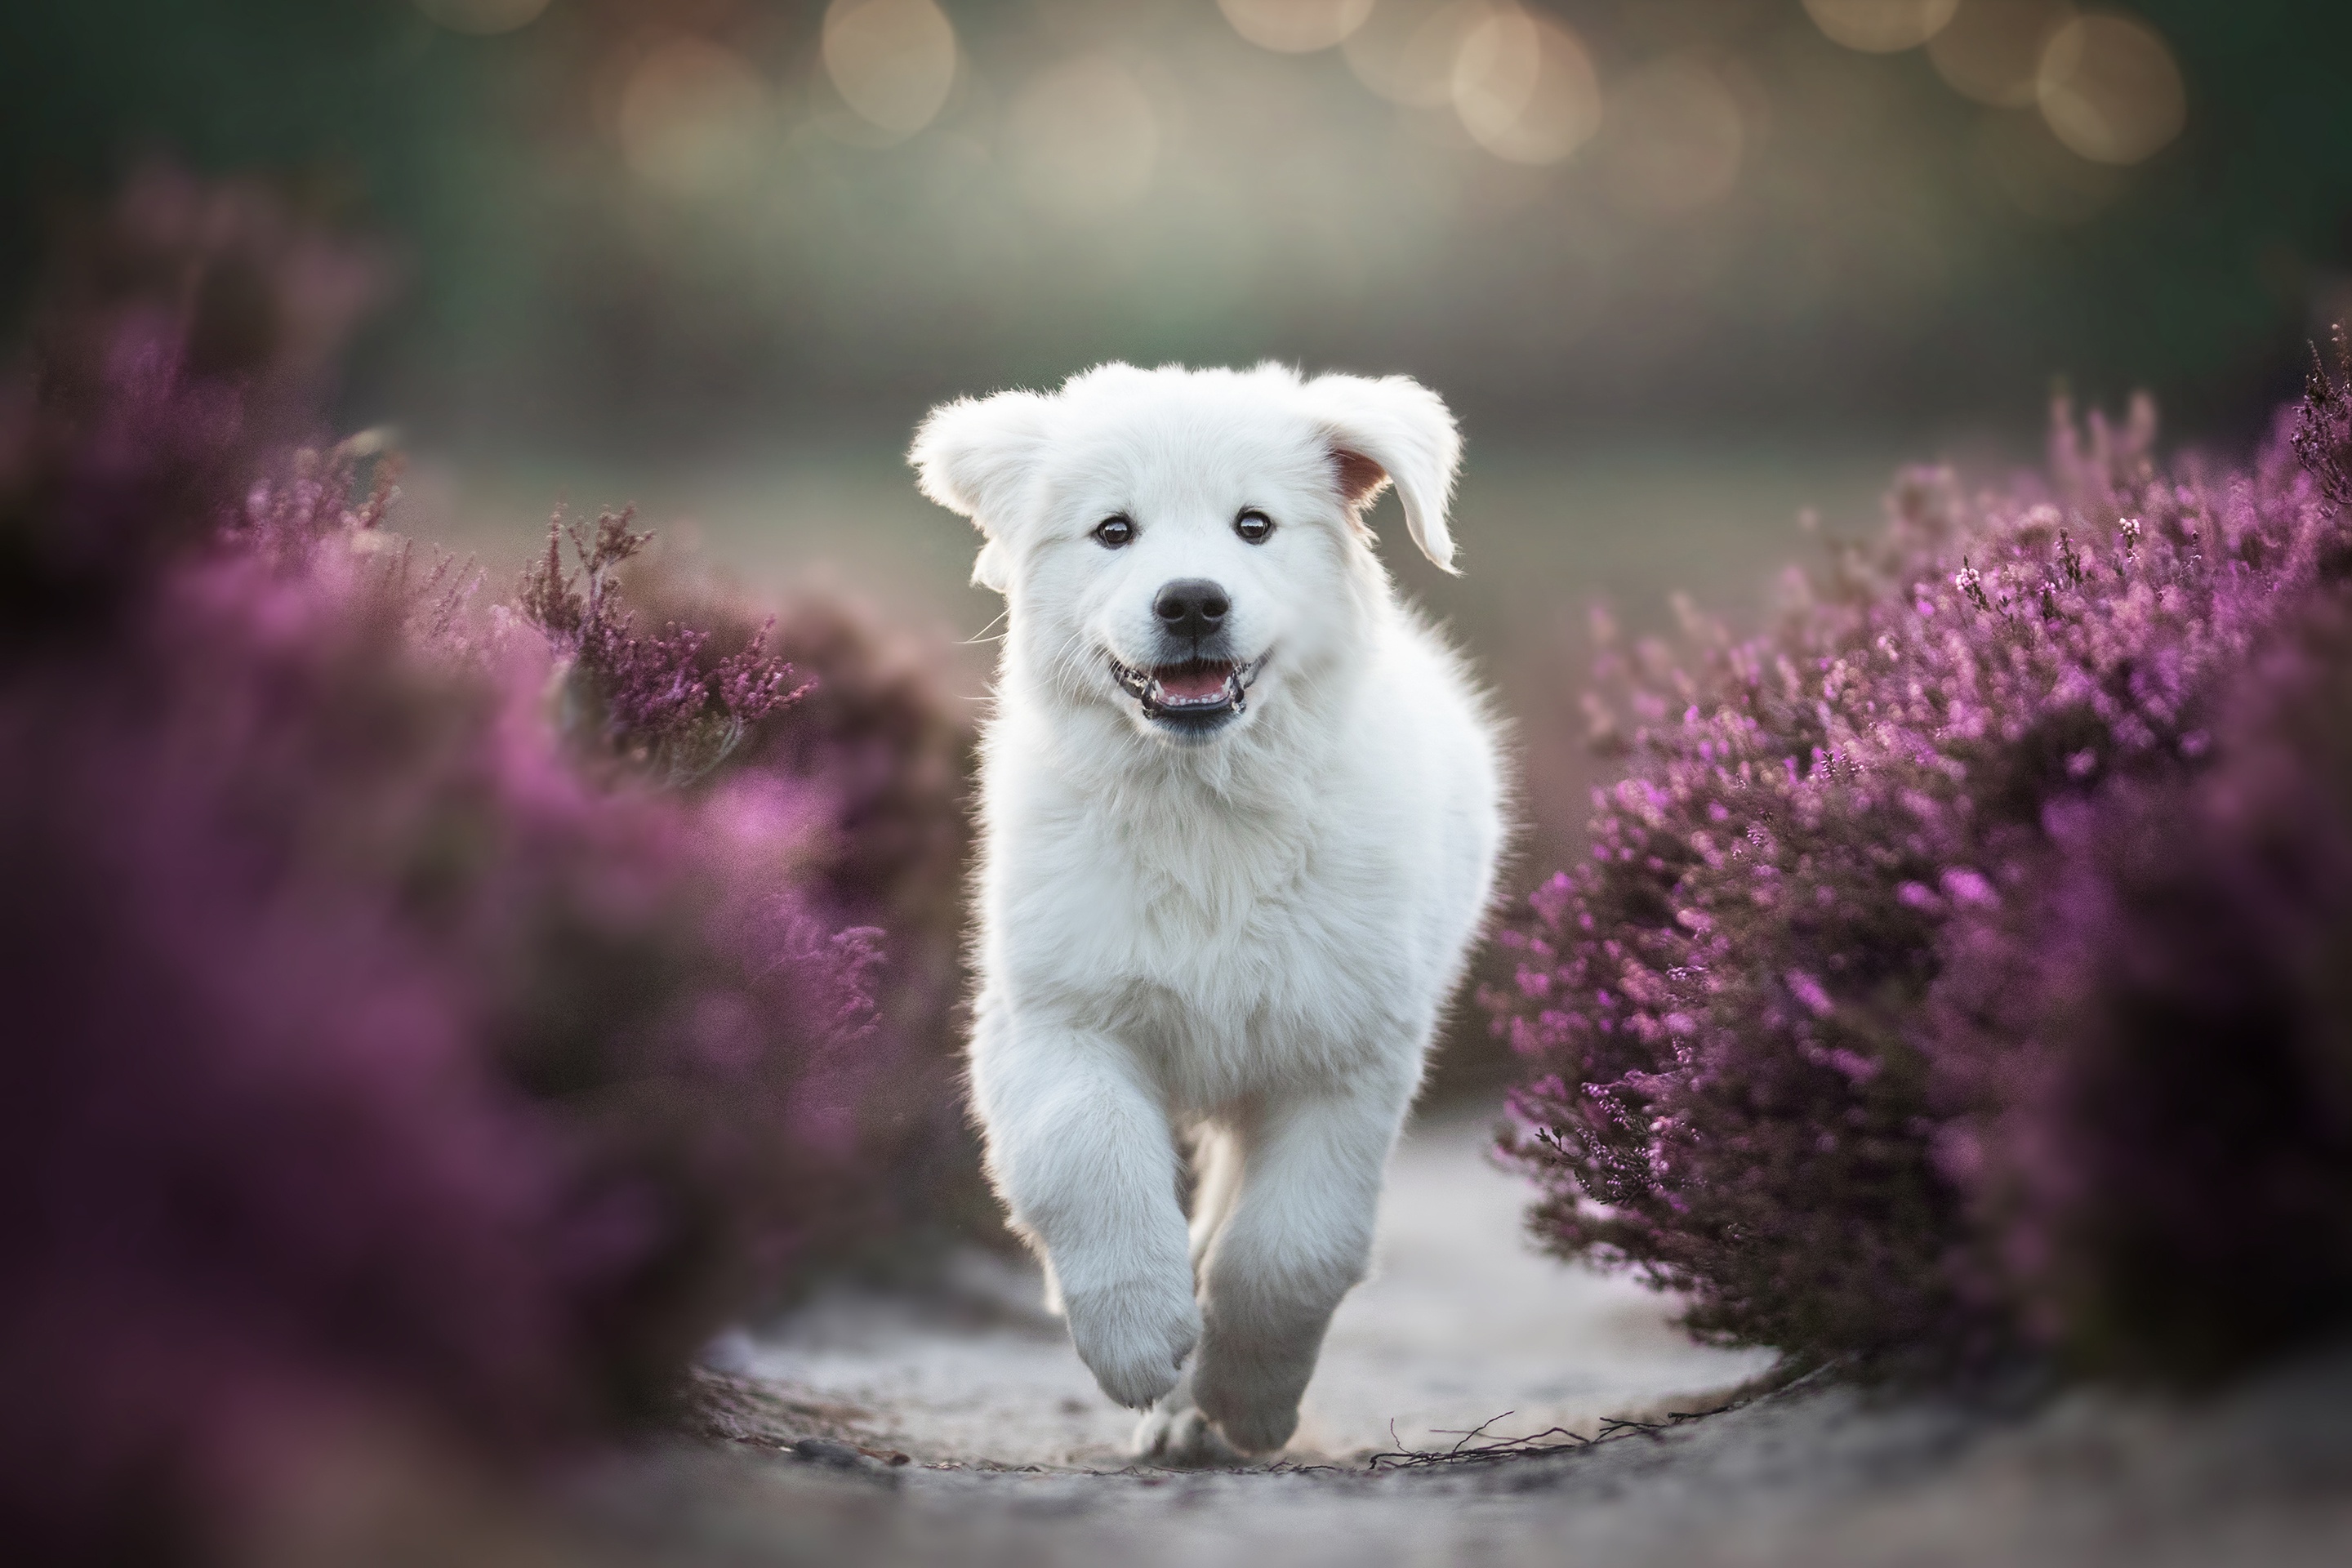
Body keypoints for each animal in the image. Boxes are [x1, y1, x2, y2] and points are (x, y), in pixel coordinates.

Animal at [907, 362, 1495, 1467]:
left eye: (1254, 526)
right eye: (1114, 531)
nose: (1190, 602)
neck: (1204, 807)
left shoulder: (1346, 1051)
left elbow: (1292, 1246)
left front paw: (1247, 1398)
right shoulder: (1056, 1014)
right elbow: (1087, 1155)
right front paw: (1139, 1338)